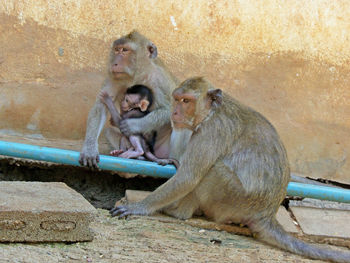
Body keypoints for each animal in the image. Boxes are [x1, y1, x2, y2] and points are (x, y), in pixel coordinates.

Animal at [79, 29, 178, 168]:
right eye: (117, 50)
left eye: (125, 50)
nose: (115, 63)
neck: (137, 75)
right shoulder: (114, 78)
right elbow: (101, 106)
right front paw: (89, 149)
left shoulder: (159, 80)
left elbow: (171, 110)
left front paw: (132, 125)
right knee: (110, 132)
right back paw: (133, 154)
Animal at [111, 77, 350, 263]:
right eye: (177, 98)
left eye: (186, 100)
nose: (175, 112)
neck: (211, 112)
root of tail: (266, 215)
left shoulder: (211, 131)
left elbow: (189, 178)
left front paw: (140, 207)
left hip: (234, 200)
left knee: (216, 169)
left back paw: (179, 211)